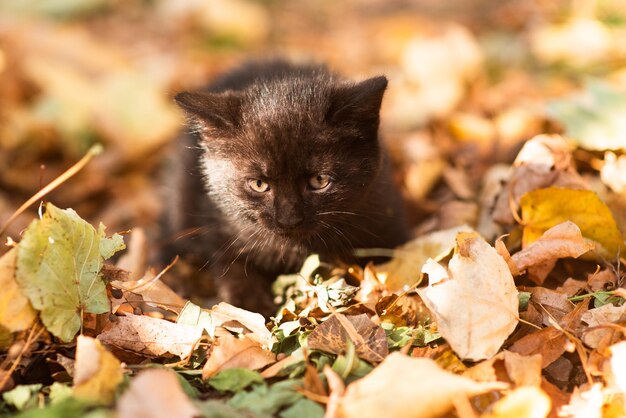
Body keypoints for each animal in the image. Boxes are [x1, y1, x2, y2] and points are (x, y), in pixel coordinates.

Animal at [168, 60, 408, 316]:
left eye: (319, 180)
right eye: (259, 184)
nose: (289, 220)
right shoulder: (222, 228)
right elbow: (234, 274)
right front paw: (254, 309)